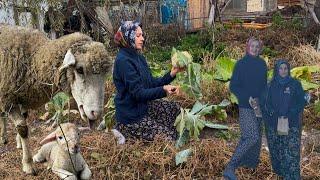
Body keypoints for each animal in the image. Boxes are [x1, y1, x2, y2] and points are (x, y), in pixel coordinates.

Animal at [0, 25, 112, 174]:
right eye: (80, 70)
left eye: (105, 75)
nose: (96, 113)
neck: (33, 59)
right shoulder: (8, 100)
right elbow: (23, 128)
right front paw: (28, 164)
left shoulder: (23, 100)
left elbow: (23, 120)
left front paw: (20, 143)